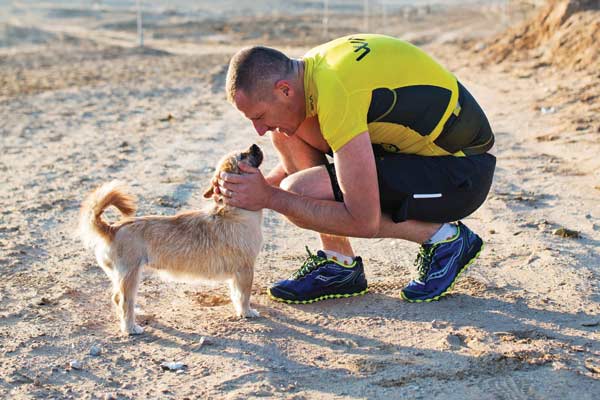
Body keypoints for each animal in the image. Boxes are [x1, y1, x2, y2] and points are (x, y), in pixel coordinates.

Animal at [78, 144, 264, 334]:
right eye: (243, 156)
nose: (254, 145)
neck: (232, 211)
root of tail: (112, 228)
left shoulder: (237, 273)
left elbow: (235, 293)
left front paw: (240, 310)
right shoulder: (245, 270)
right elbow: (244, 295)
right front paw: (247, 312)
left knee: (117, 298)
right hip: (130, 276)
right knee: (124, 301)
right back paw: (130, 327)